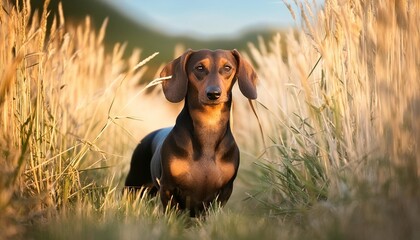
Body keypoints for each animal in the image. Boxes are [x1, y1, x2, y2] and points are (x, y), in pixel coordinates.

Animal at [123, 49, 258, 218]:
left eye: (227, 67)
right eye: (199, 67)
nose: (213, 94)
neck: (208, 125)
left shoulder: (224, 191)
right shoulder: (168, 187)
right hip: (134, 185)